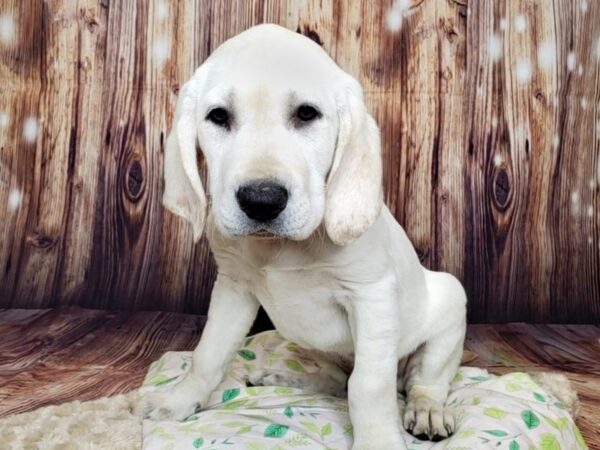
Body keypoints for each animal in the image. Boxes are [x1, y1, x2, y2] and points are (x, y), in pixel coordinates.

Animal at [138, 24, 466, 450]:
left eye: (307, 114)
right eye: (218, 116)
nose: (261, 201)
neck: (280, 249)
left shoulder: (371, 295)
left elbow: (369, 386)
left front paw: (378, 439)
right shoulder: (234, 288)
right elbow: (207, 354)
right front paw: (177, 401)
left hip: (449, 306)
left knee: (420, 382)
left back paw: (427, 409)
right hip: (309, 342)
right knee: (337, 381)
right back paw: (283, 376)